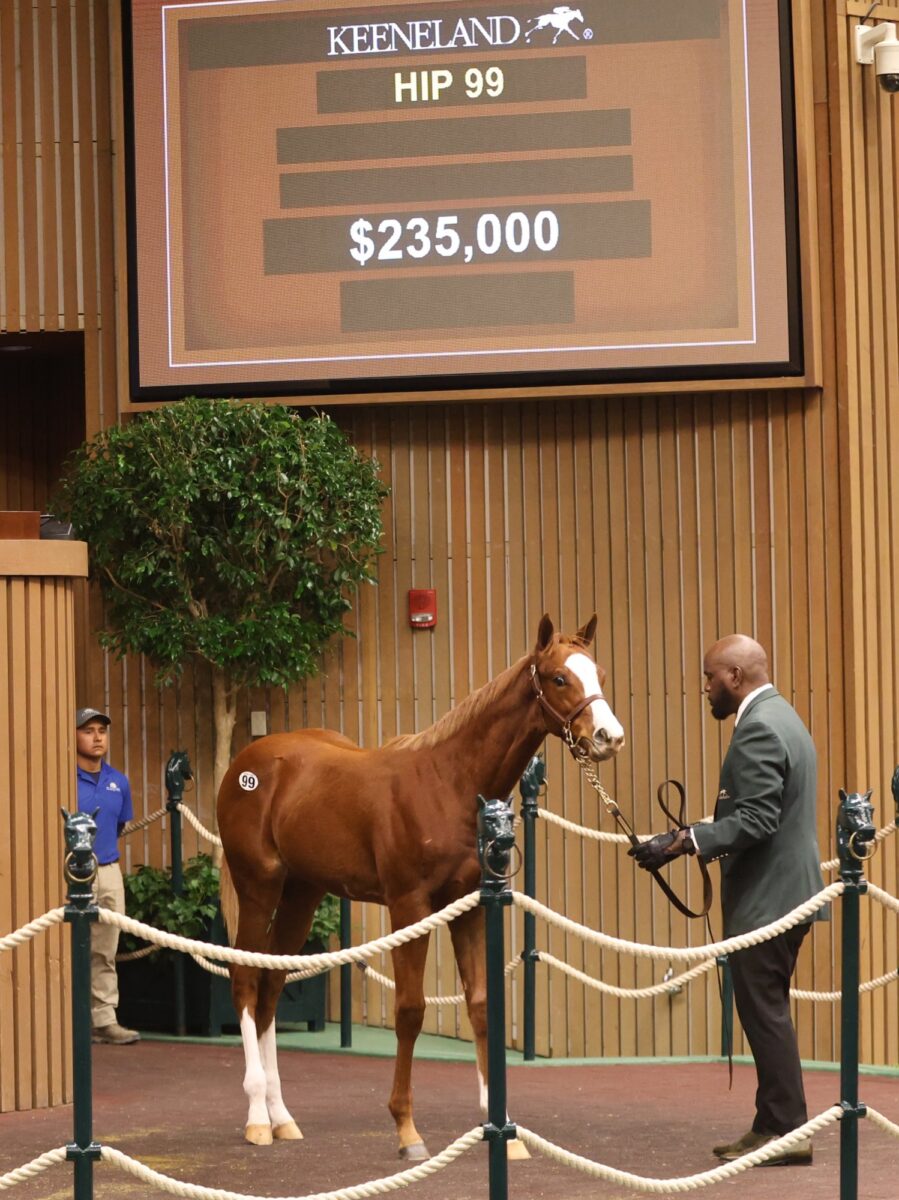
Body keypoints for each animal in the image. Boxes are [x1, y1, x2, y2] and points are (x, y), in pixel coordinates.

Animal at [217, 614, 624, 1156]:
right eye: (559, 678)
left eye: (598, 672)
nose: (609, 736)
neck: (447, 783)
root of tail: (247, 763)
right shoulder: (410, 906)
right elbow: (410, 1011)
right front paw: (407, 1129)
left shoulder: (468, 906)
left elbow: (482, 1007)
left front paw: (502, 1127)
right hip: (259, 885)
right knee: (244, 980)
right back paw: (258, 1118)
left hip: (302, 893)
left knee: (271, 986)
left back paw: (282, 1116)